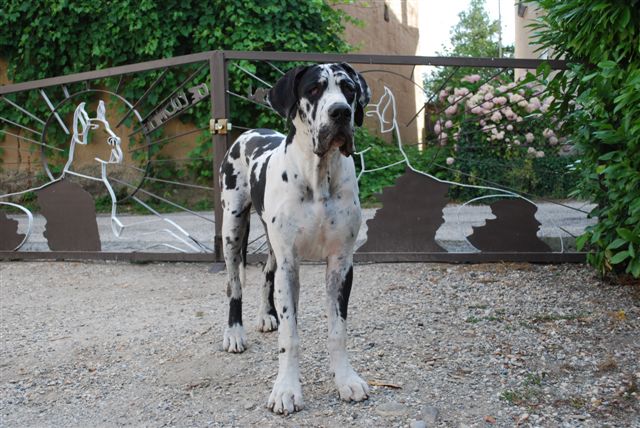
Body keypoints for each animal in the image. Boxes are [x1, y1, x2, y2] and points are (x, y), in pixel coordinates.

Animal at [219, 63, 370, 414]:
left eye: (349, 89)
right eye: (314, 89)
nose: (340, 112)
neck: (318, 175)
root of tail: (248, 132)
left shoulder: (341, 264)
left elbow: (338, 330)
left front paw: (346, 380)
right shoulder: (291, 264)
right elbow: (290, 335)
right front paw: (286, 390)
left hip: (273, 244)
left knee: (265, 272)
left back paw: (266, 315)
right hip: (232, 227)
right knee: (235, 284)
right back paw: (235, 332)